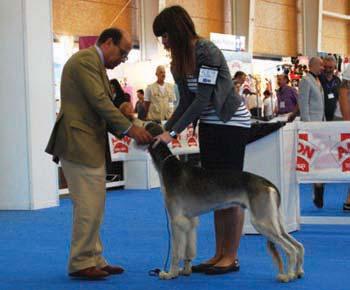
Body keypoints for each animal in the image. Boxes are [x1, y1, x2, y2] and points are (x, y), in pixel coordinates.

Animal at [145, 123, 304, 284]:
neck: (168, 166)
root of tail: (267, 183)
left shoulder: (176, 221)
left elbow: (176, 252)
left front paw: (170, 273)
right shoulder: (189, 220)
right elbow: (188, 249)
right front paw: (186, 270)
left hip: (262, 222)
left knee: (290, 249)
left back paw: (288, 275)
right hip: (274, 221)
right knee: (298, 246)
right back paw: (298, 271)